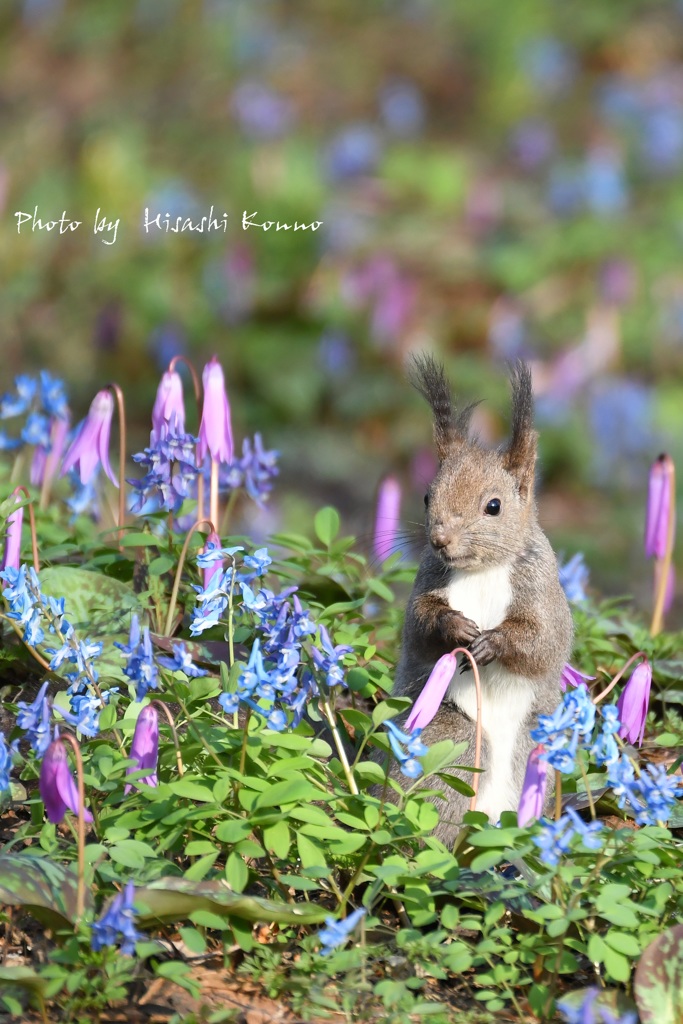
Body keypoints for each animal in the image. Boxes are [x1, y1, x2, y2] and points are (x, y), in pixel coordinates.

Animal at [393, 358, 573, 839]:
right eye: (426, 496)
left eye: (494, 506)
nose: (440, 540)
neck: (482, 571)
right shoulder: (428, 581)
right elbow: (420, 626)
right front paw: (455, 626)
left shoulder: (542, 589)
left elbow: (541, 639)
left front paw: (494, 642)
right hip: (449, 737)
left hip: (538, 744)